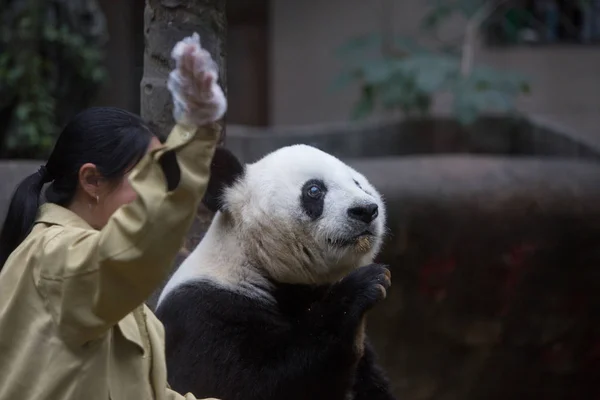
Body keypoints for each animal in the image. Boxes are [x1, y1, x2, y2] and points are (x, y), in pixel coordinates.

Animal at [157, 144, 396, 400]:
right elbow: (253, 382)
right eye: (314, 190)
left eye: (358, 184)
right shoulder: (202, 314)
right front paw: (363, 286)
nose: (366, 210)